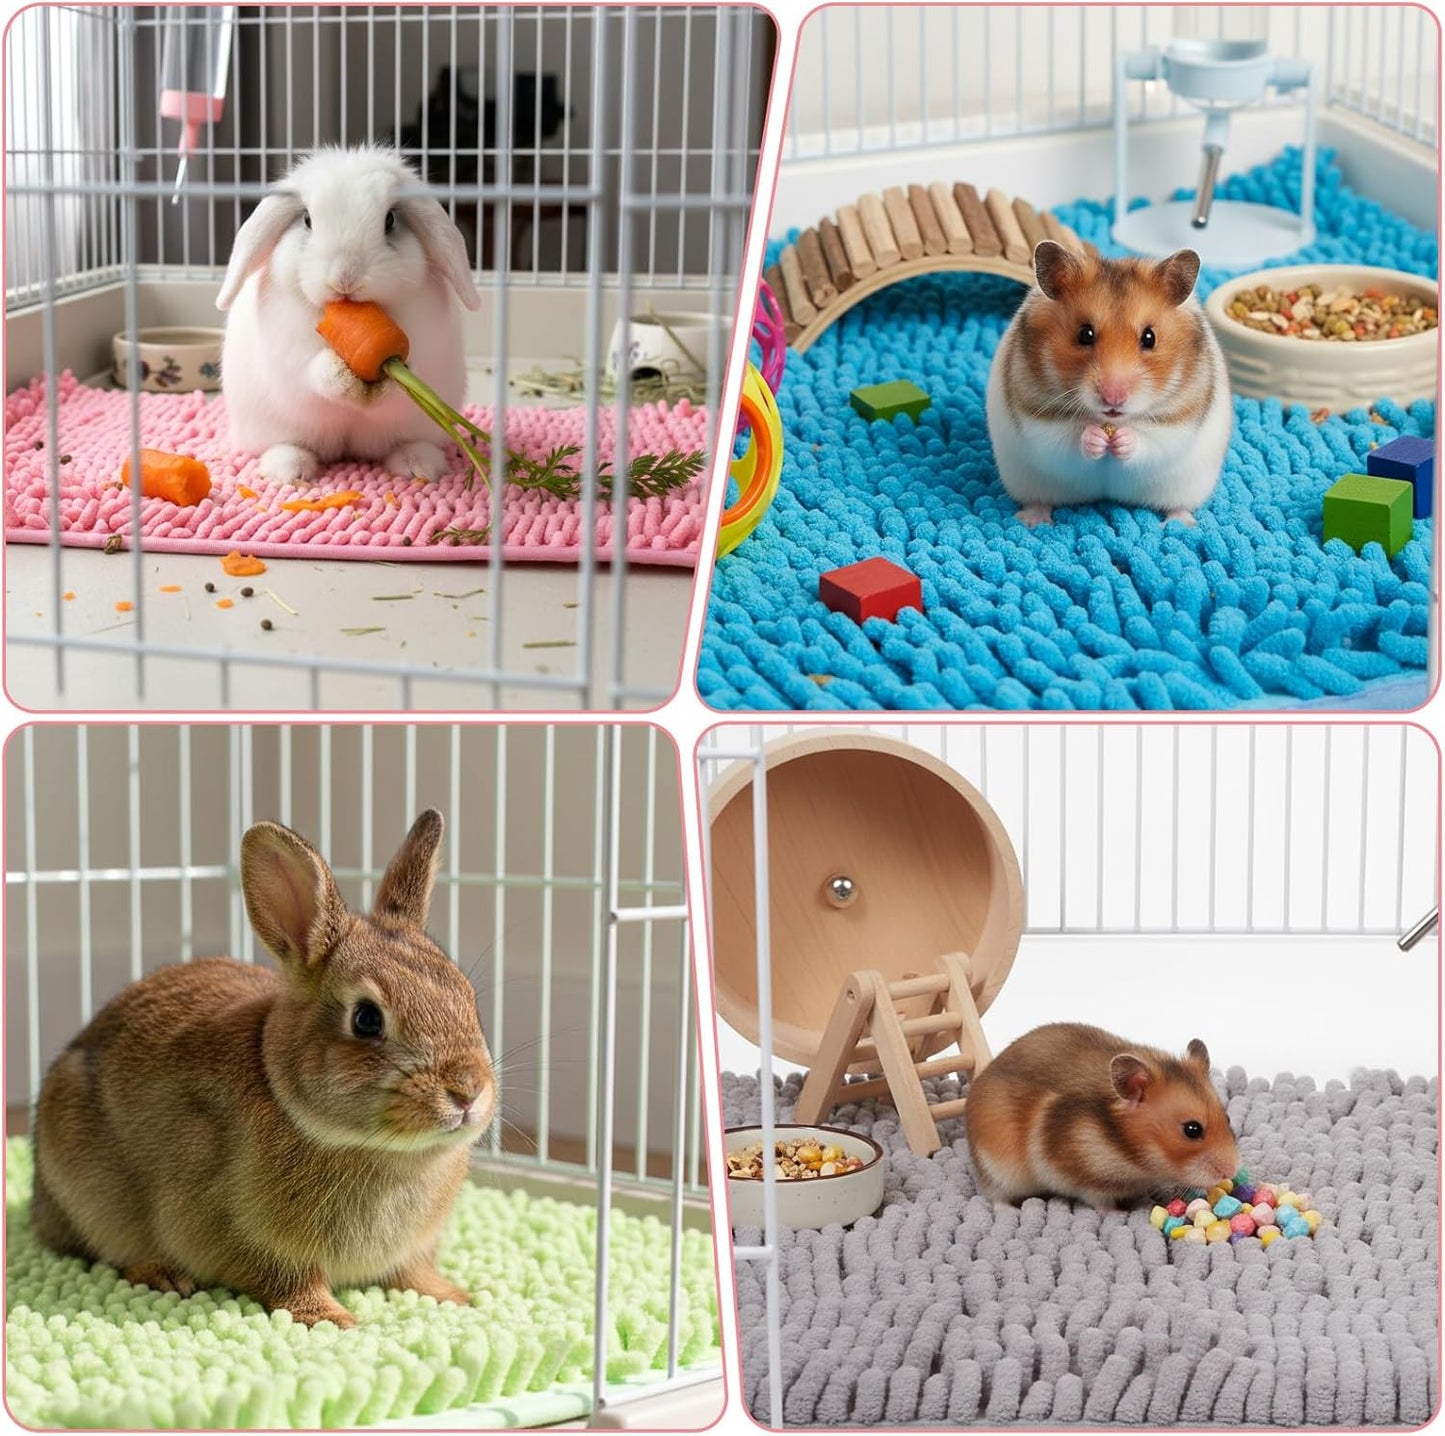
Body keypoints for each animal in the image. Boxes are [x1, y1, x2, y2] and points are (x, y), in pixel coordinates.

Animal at [30, 809, 494, 1329]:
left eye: (467, 997)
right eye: (366, 1019)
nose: (467, 1091)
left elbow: (413, 1272)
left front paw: (454, 1298)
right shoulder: (246, 1234)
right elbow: (288, 1281)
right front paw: (335, 1320)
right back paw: (163, 1275)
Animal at [216, 145, 481, 486]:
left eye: (390, 220)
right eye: (307, 220)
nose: (345, 278)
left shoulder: (425, 344)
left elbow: (410, 372)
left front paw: (391, 378)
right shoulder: (290, 354)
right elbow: (311, 371)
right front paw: (341, 374)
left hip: (419, 427)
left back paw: (420, 465)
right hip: (269, 425)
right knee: (285, 443)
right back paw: (289, 469)